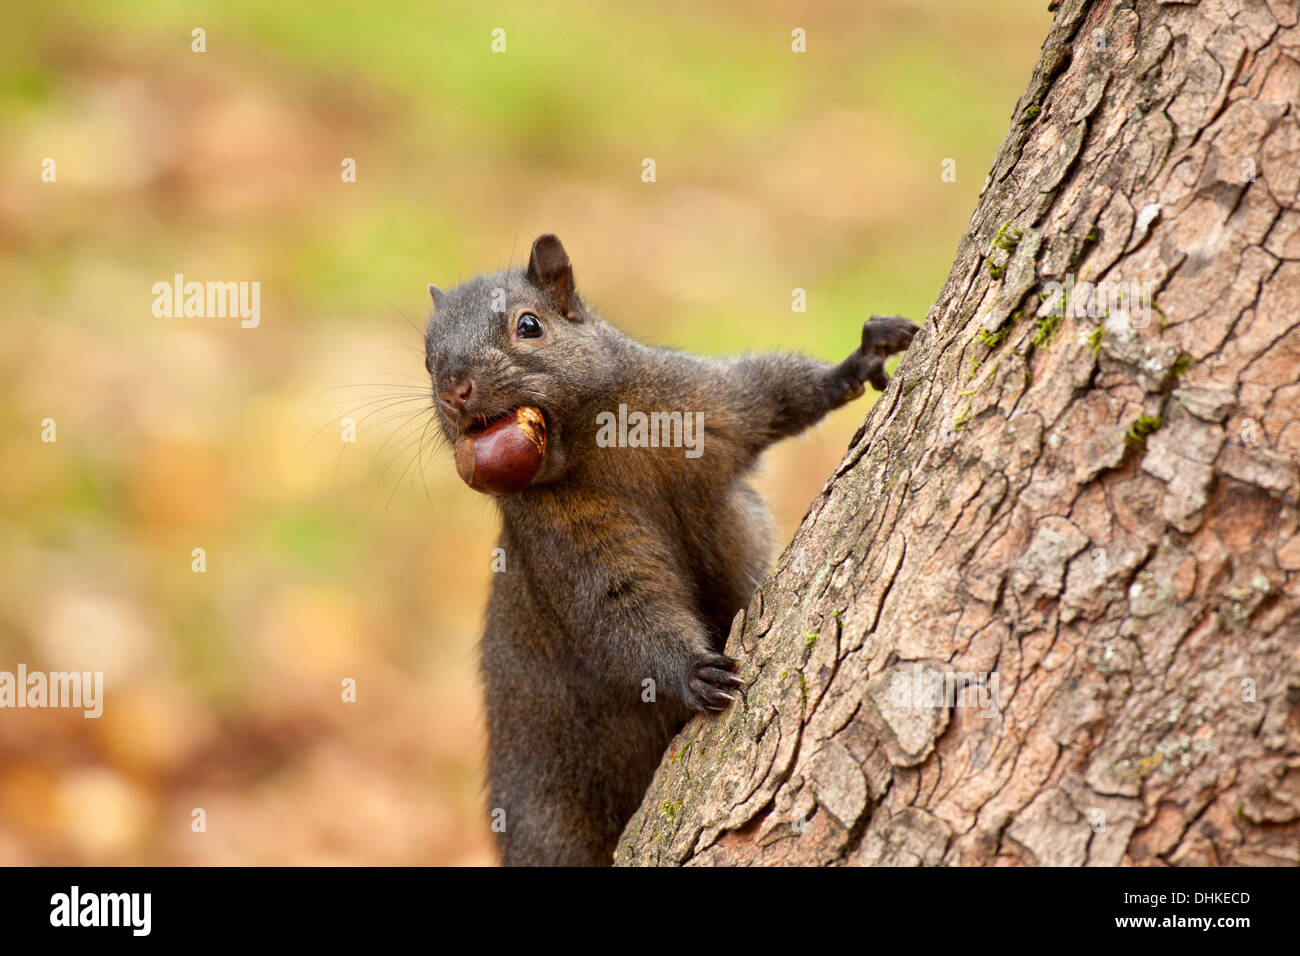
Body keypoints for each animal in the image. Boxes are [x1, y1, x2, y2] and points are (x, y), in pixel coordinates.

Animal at [426, 234, 915, 868]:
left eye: (528, 325)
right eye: (427, 358)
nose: (453, 390)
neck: (596, 439)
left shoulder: (705, 401)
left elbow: (774, 392)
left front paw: (861, 357)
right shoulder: (561, 536)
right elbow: (618, 608)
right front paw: (693, 673)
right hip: (547, 822)